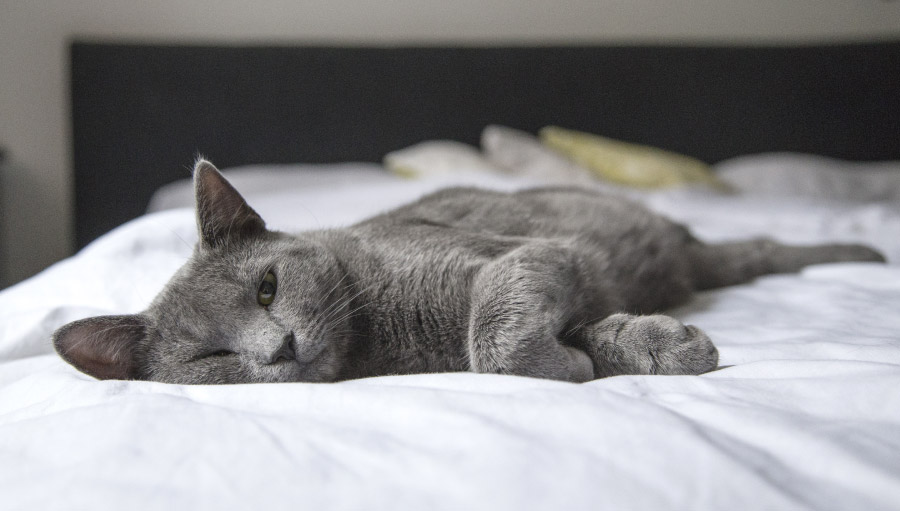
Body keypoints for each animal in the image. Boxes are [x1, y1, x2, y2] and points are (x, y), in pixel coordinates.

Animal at [54, 160, 884, 384]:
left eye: (266, 288)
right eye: (211, 356)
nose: (278, 347)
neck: (384, 340)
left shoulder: (519, 256)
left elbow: (494, 334)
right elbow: (528, 342)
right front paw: (635, 349)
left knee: (763, 248)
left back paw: (868, 255)